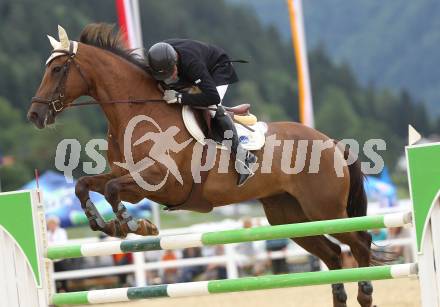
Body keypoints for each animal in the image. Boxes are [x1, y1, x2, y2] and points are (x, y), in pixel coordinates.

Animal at [29, 24, 374, 307]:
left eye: (57, 69)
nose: (35, 115)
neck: (136, 112)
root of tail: (332, 142)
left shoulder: (163, 182)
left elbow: (113, 189)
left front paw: (134, 225)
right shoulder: (132, 182)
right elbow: (85, 185)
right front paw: (106, 224)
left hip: (324, 209)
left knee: (360, 243)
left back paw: (366, 293)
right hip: (288, 215)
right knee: (333, 254)